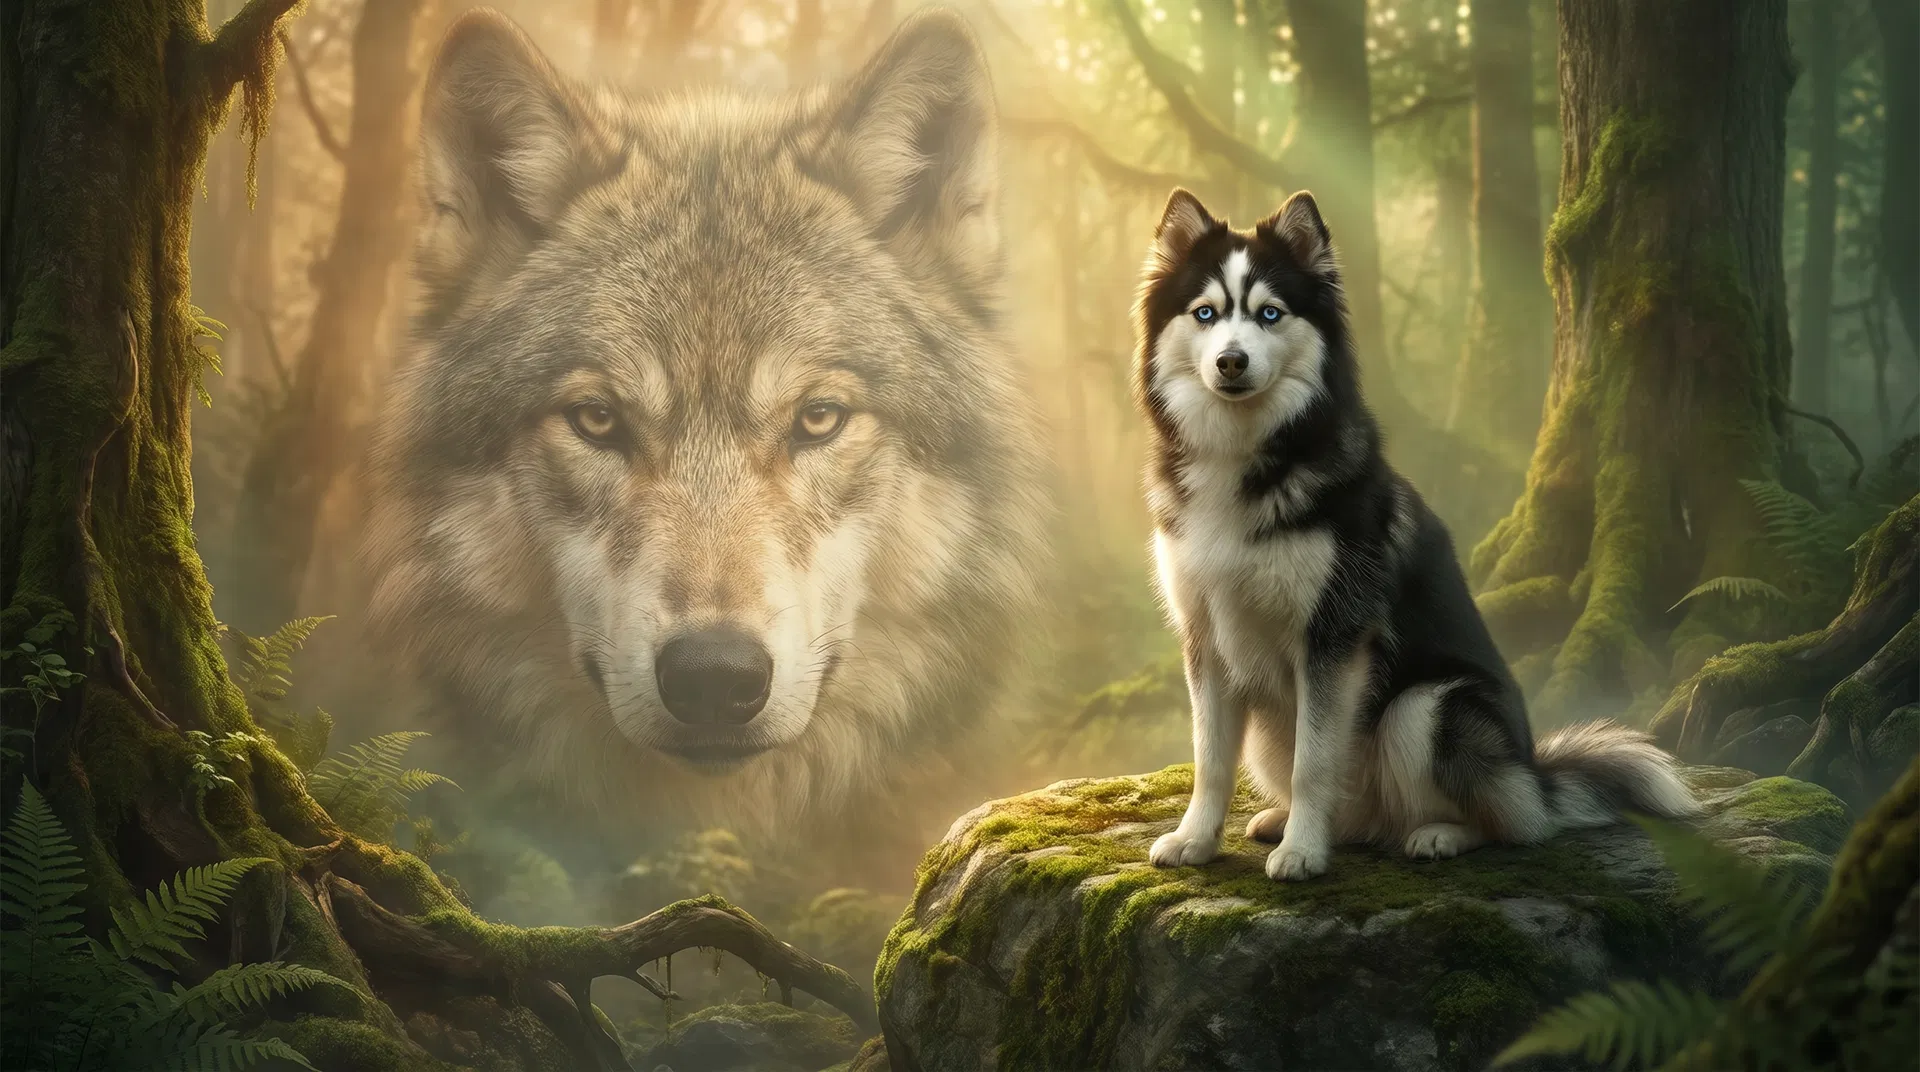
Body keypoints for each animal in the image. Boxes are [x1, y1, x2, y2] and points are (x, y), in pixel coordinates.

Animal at [1134, 189, 1696, 882]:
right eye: (1206, 313)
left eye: (1269, 314)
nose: (1230, 361)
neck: (1244, 457)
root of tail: (1538, 775)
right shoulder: (1207, 639)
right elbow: (1210, 759)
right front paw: (1196, 839)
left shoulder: (1333, 638)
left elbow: (1315, 760)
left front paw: (1303, 851)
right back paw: (1290, 820)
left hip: (1428, 707)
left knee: (1512, 822)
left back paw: (1437, 834)